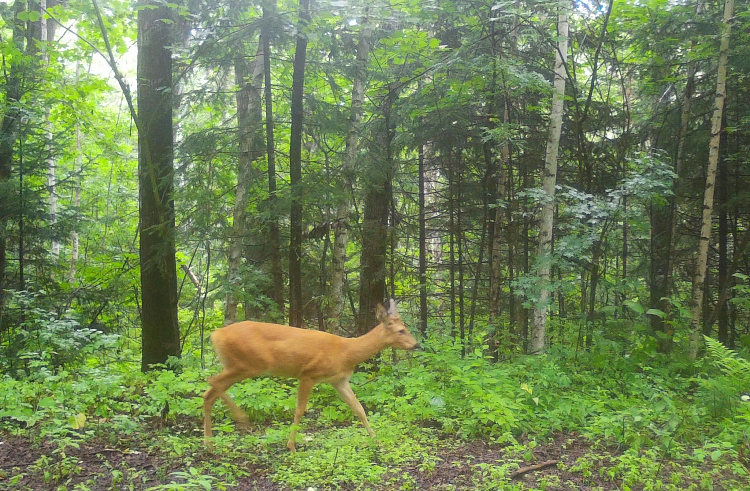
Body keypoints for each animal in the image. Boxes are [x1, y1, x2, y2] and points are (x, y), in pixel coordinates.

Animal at [203, 298, 420, 452]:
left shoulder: (339, 380)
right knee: (212, 381)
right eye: (401, 330)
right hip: (248, 365)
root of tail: (216, 335)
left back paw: (210, 445)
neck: (346, 352)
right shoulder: (308, 374)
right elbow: (300, 410)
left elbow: (359, 409)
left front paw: (377, 441)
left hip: (240, 366)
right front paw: (291, 446)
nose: (416, 344)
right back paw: (241, 418)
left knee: (209, 393)